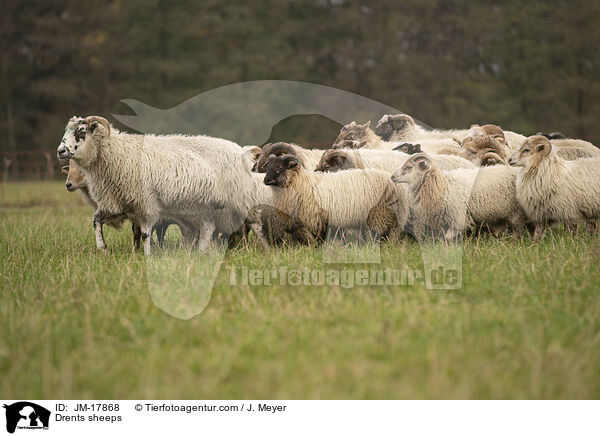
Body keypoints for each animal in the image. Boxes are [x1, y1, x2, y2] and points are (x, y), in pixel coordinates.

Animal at [56, 115, 268, 255]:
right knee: (208, 228)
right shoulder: (117, 203)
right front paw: (103, 248)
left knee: (255, 225)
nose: (60, 151)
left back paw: (266, 249)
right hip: (203, 208)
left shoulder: (147, 204)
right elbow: (96, 220)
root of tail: (242, 151)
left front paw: (147, 256)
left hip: (240, 199)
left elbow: (145, 234)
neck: (118, 153)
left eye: (81, 132)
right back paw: (199, 253)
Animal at [390, 154, 524, 242]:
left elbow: (448, 237)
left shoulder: (458, 217)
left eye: (408, 166)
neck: (441, 186)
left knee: (517, 229)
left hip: (516, 212)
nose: (392, 176)